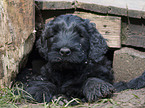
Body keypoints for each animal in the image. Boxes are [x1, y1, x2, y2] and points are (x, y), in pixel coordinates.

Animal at [15, 14, 145, 103]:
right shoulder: (46, 72)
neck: (68, 71)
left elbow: (92, 77)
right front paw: (38, 91)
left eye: (80, 35)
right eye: (53, 34)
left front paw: (97, 87)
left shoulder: (102, 72)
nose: (64, 51)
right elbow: (43, 81)